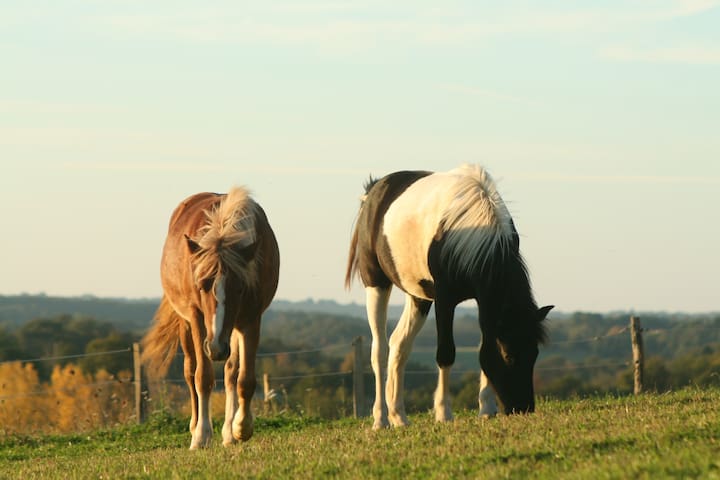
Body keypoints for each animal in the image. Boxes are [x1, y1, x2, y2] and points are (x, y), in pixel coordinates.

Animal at [141, 188, 278, 450]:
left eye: (239, 288)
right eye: (202, 285)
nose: (215, 348)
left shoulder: (250, 319)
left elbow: (244, 379)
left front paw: (241, 428)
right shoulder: (197, 318)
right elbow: (202, 377)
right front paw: (202, 435)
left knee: (231, 372)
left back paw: (228, 432)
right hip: (188, 325)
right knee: (190, 370)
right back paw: (195, 426)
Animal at [346, 164, 556, 428]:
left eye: (535, 353)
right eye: (509, 355)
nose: (523, 408)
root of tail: (375, 189)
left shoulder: (481, 301)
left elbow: (483, 347)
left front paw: (486, 408)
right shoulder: (445, 300)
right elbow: (446, 353)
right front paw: (444, 413)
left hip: (418, 296)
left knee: (399, 345)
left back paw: (399, 417)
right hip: (376, 284)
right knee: (380, 351)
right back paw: (381, 419)